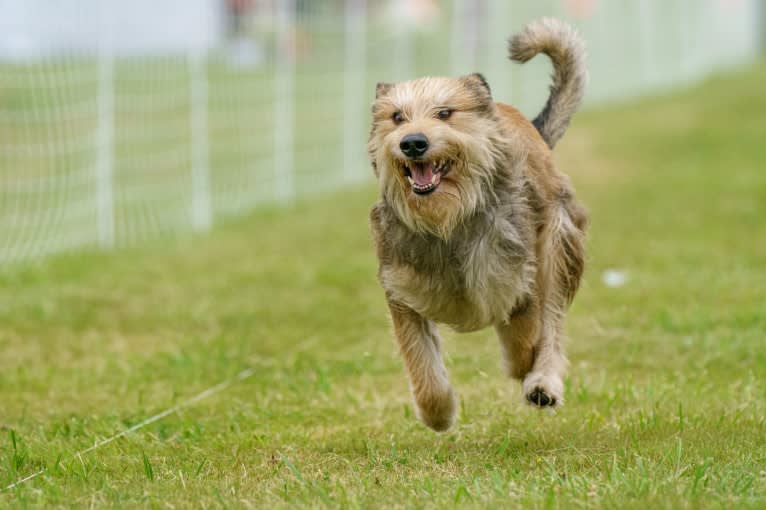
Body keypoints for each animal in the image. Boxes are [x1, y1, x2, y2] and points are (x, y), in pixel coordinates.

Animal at [368, 17, 592, 430]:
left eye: (444, 113)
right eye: (397, 117)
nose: (412, 143)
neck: (448, 221)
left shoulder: (516, 278)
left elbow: (524, 337)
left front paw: (525, 368)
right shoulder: (402, 288)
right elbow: (420, 358)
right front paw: (438, 413)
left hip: (558, 242)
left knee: (552, 322)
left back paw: (542, 382)